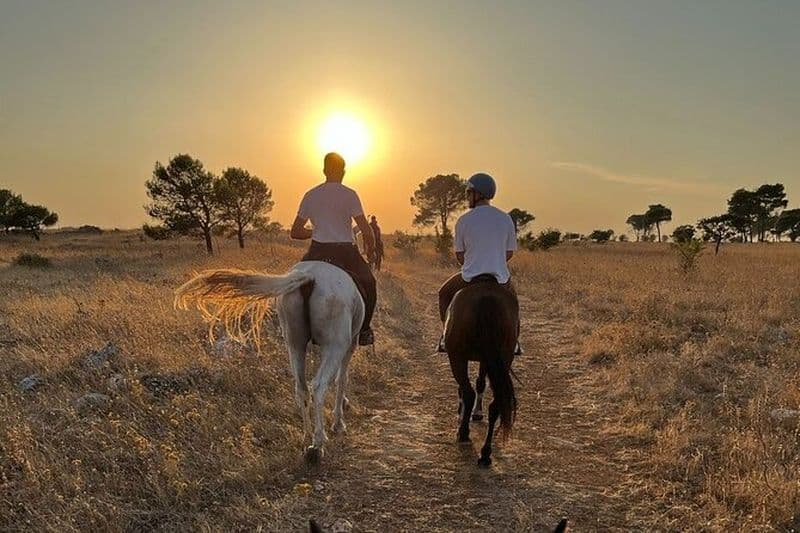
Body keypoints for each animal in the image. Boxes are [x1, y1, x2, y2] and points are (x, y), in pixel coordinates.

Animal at [174, 261, 364, 464]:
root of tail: (309, 277)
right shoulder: (350, 344)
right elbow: (341, 380)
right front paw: (339, 422)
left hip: (295, 344)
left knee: (301, 389)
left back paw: (307, 439)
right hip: (335, 345)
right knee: (319, 386)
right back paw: (317, 444)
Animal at [443, 276, 518, 467]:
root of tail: (487, 298)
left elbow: (469, 387)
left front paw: (464, 412)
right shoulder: (487, 359)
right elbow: (481, 383)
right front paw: (477, 413)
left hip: (457, 357)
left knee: (468, 392)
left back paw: (463, 433)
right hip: (504, 356)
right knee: (496, 403)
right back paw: (485, 453)